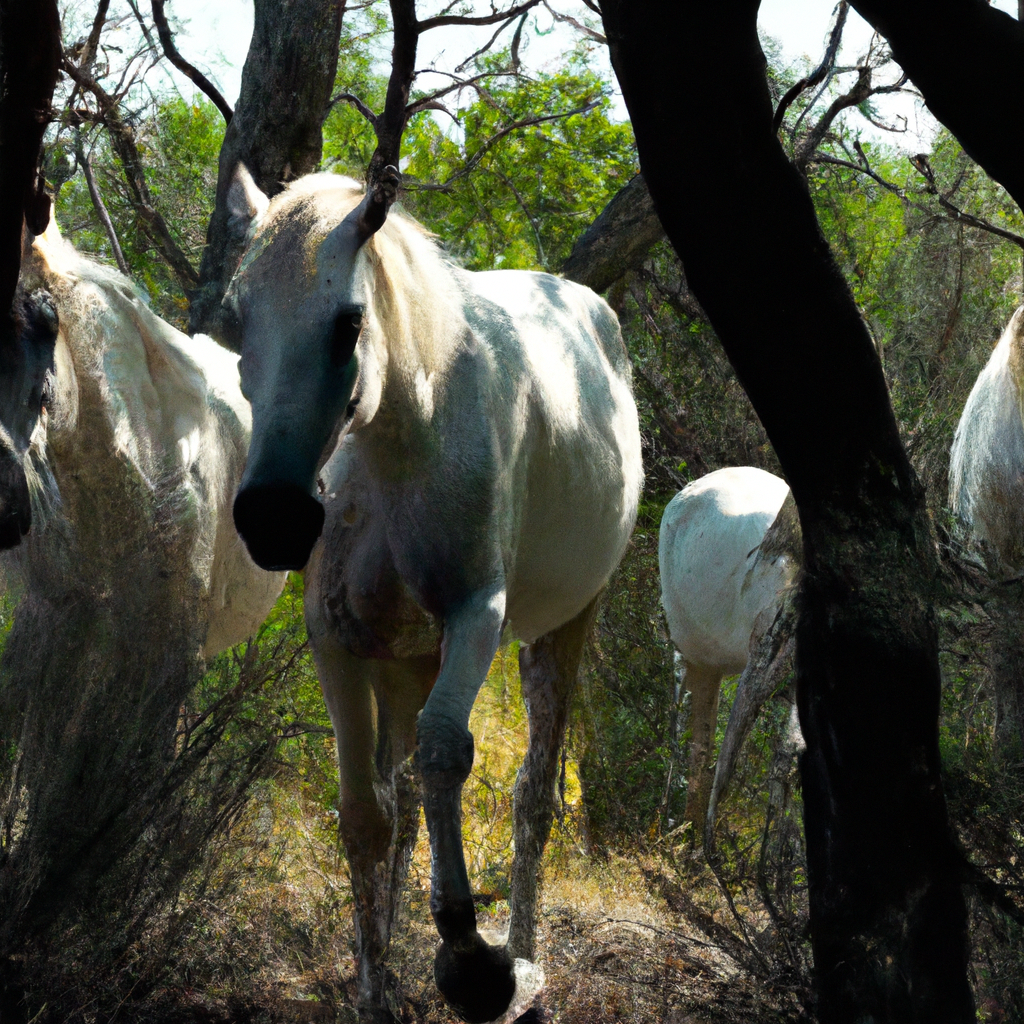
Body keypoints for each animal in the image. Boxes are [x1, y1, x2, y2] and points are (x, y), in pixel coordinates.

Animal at [0, 220, 284, 937]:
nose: (3, 502)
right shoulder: (58, 615)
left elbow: (120, 778)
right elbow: (29, 744)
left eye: (39, 324)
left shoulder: (164, 648)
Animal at [226, 163, 638, 1019]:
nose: (274, 516)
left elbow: (448, 752)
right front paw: (374, 986)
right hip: (405, 657)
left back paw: (523, 958)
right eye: (236, 319)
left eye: (349, 322)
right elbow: (366, 813)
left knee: (532, 797)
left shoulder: (475, 615)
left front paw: (470, 955)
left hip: (563, 627)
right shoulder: (339, 642)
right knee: (407, 794)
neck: (398, 440)